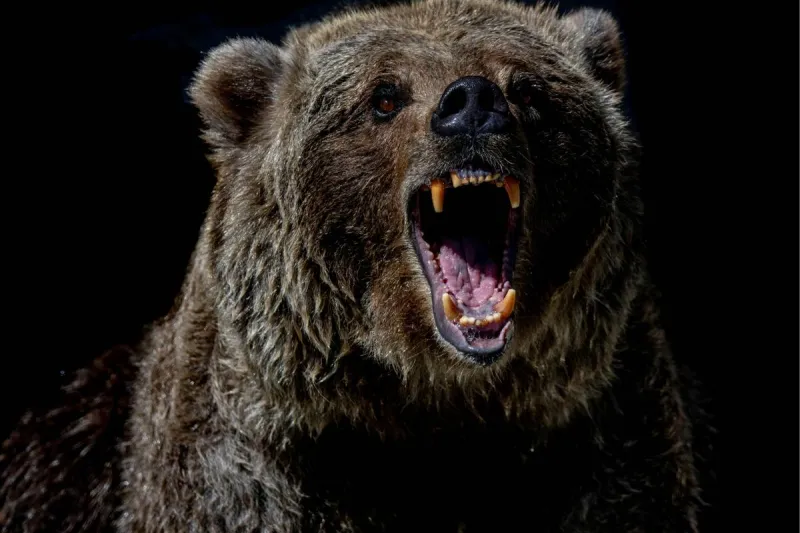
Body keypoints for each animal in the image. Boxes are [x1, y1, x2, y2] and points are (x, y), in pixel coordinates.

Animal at [0, 0, 711, 531]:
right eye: (384, 96)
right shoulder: (257, 469)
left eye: (529, 89)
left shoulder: (596, 443)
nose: (472, 103)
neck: (432, 404)